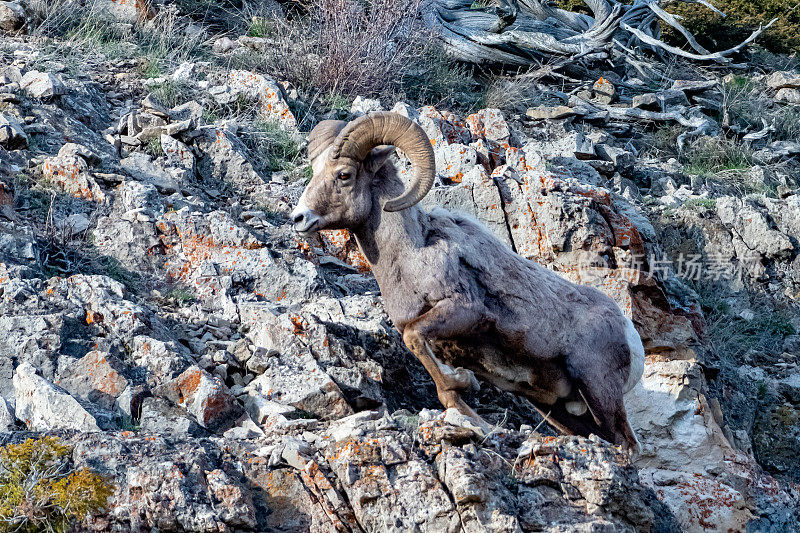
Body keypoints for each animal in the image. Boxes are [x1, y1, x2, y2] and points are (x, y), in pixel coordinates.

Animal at [290, 112, 648, 448]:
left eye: (344, 175)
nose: (299, 218)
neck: (411, 254)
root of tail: (630, 334)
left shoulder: (465, 310)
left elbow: (414, 338)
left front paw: (463, 381)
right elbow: (441, 385)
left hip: (598, 389)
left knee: (628, 444)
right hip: (561, 411)